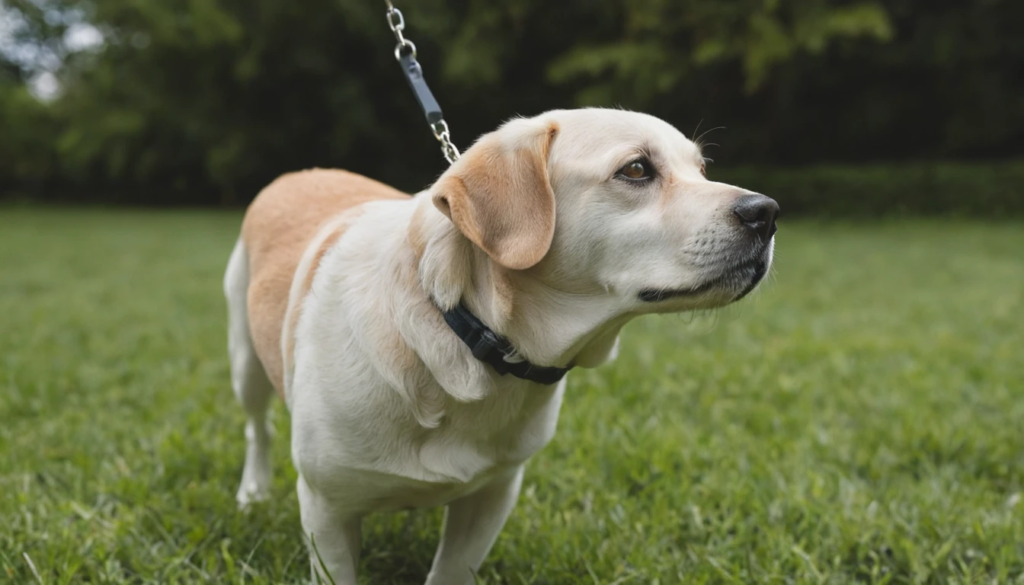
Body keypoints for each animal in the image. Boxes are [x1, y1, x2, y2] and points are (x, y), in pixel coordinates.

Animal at [224, 107, 774, 581]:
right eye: (637, 168)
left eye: (701, 169)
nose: (766, 213)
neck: (465, 332)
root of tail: (298, 172)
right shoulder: (327, 510)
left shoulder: (493, 495)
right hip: (244, 361)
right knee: (257, 427)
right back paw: (251, 493)